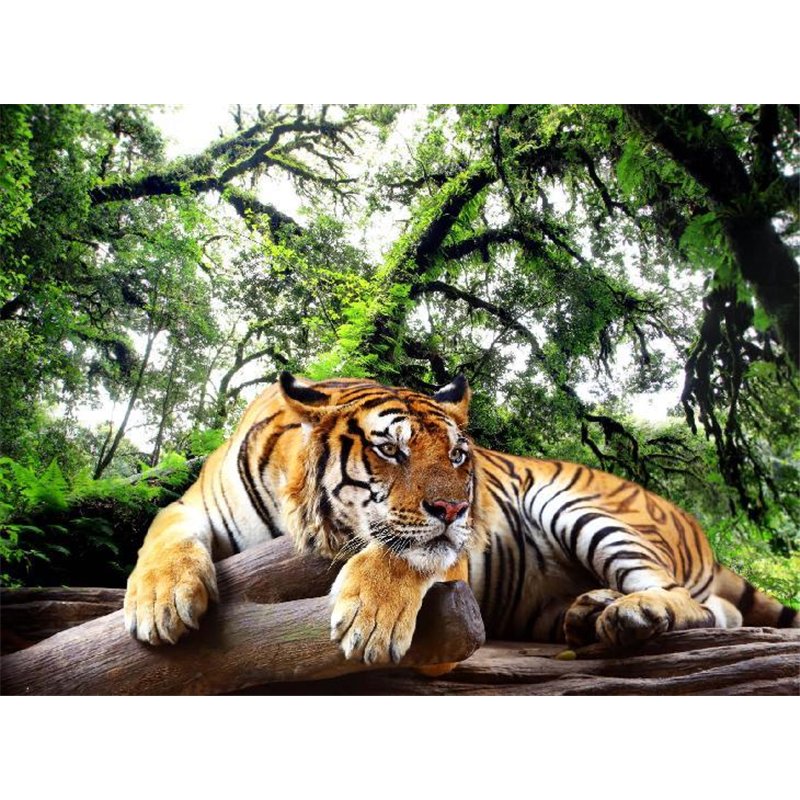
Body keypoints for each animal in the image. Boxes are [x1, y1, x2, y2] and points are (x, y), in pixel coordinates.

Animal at [123, 372, 799, 666]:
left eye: (455, 455)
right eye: (390, 449)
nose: (454, 509)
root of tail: (695, 524)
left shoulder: (450, 553)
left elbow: (404, 553)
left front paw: (370, 621)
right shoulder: (190, 505)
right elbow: (162, 534)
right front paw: (160, 602)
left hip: (580, 507)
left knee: (696, 604)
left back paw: (631, 614)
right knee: (717, 609)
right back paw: (590, 612)